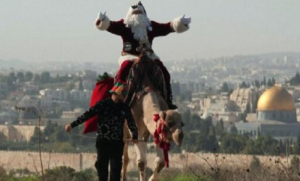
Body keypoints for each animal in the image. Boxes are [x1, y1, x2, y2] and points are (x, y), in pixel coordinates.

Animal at [121, 47, 184, 181]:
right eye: (167, 124)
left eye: (182, 124)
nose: (179, 137)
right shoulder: (136, 130)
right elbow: (141, 162)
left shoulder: (156, 133)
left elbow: (160, 162)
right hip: (124, 129)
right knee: (125, 155)